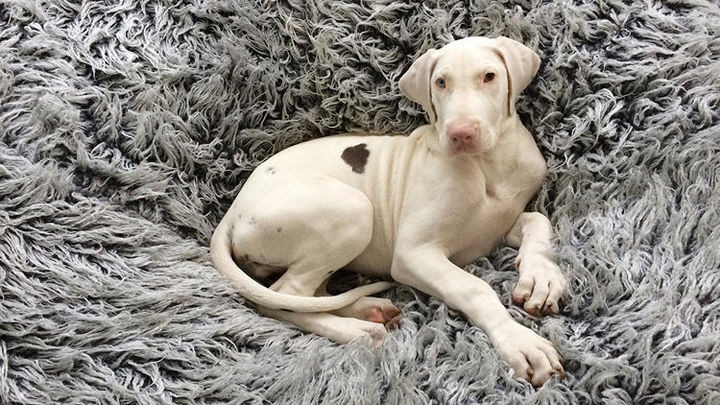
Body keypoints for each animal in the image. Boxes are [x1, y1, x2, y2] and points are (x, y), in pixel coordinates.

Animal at [211, 36, 567, 386]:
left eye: (489, 76)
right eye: (440, 82)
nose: (460, 133)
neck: (487, 165)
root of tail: (233, 213)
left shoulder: (498, 226)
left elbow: (537, 220)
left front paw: (542, 278)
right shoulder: (414, 254)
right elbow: (473, 287)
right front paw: (521, 343)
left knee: (311, 294)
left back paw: (367, 309)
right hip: (352, 210)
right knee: (284, 296)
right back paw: (357, 330)